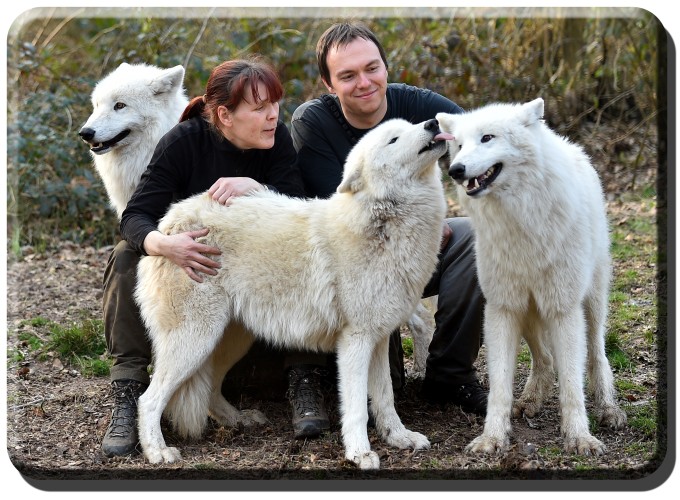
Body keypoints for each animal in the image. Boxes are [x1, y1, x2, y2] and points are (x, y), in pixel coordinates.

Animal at [133, 118, 452, 468]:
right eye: (394, 139)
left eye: (411, 125)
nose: (433, 122)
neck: (384, 221)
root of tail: (167, 223)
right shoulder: (355, 340)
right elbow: (356, 406)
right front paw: (359, 453)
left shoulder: (378, 337)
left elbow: (385, 397)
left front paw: (399, 437)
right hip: (195, 341)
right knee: (148, 399)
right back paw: (158, 451)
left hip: (228, 340)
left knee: (211, 390)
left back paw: (239, 419)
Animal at [436, 98, 628, 458]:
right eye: (459, 145)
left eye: (487, 138)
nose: (455, 169)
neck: (520, 221)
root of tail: (572, 147)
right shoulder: (502, 307)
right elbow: (500, 385)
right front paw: (492, 437)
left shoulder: (563, 309)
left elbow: (572, 383)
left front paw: (580, 437)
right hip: (528, 310)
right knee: (545, 358)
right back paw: (529, 401)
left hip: (590, 304)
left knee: (597, 355)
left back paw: (609, 409)